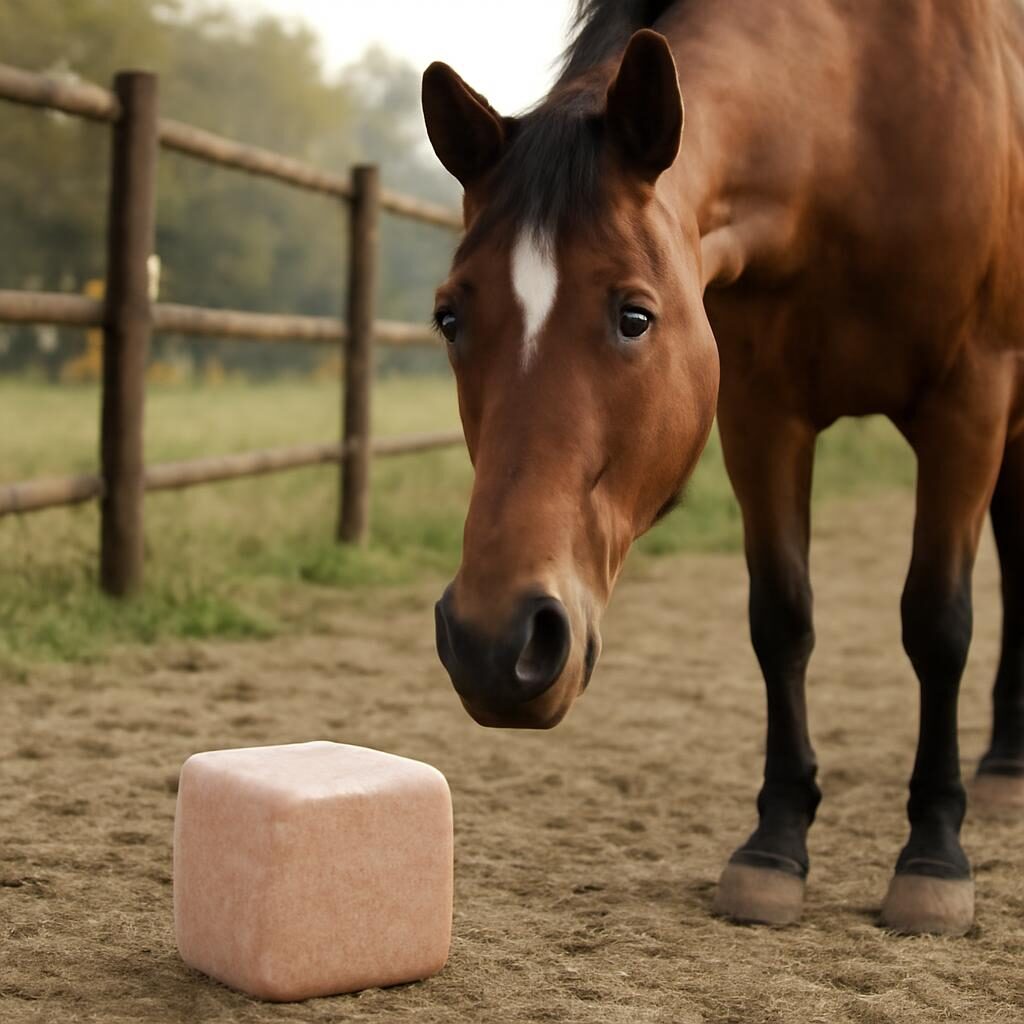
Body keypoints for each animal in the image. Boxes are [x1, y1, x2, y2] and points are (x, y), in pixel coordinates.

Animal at [422, 0, 1024, 936]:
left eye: (635, 316)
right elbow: (780, 619)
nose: (494, 642)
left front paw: (933, 855)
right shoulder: (760, 416)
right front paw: (774, 843)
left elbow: (937, 624)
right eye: (450, 317)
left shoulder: (969, 403)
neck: (856, 128)